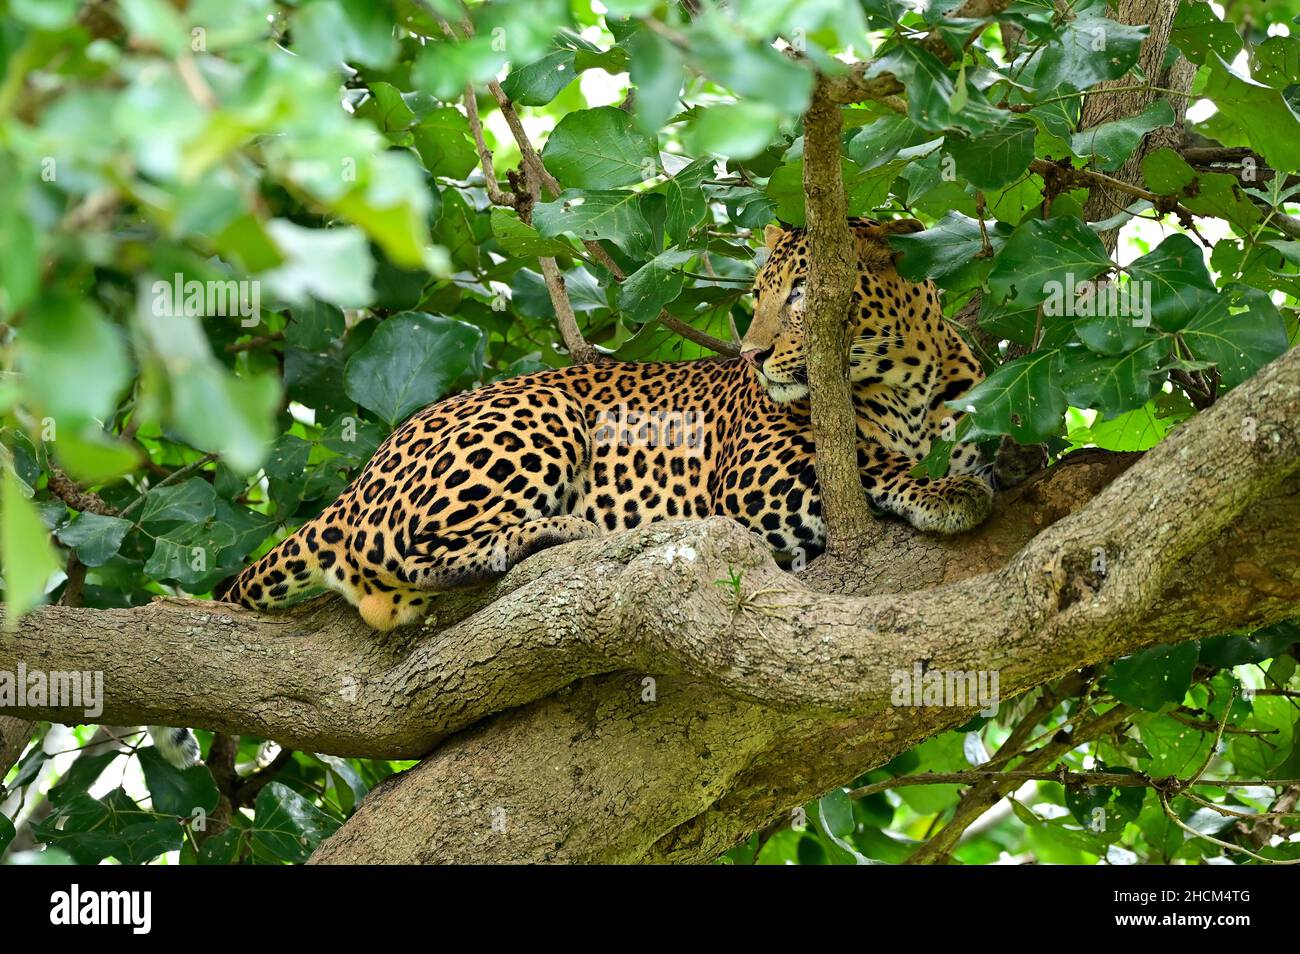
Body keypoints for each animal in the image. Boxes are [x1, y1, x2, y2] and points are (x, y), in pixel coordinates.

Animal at [218, 217, 993, 634]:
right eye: (757, 295)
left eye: (803, 295)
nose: (750, 354)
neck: (907, 380)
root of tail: (360, 478)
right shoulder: (759, 477)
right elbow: (872, 461)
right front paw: (945, 492)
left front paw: (972, 470)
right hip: (540, 418)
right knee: (414, 547)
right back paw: (555, 532)